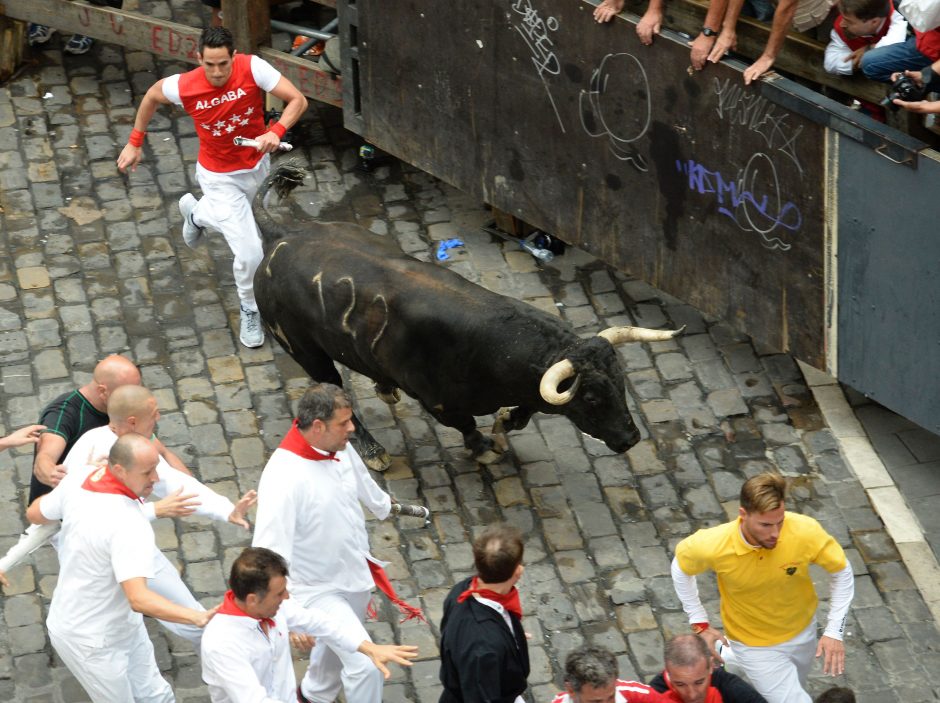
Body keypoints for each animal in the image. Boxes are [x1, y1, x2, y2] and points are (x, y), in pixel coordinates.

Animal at [250, 165, 680, 470]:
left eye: (621, 381)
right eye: (590, 396)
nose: (630, 438)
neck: (496, 348)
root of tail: (283, 233)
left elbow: (519, 416)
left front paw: (503, 427)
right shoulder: (441, 403)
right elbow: (469, 427)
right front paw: (487, 449)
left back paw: (384, 387)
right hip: (305, 350)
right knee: (332, 389)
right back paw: (373, 450)